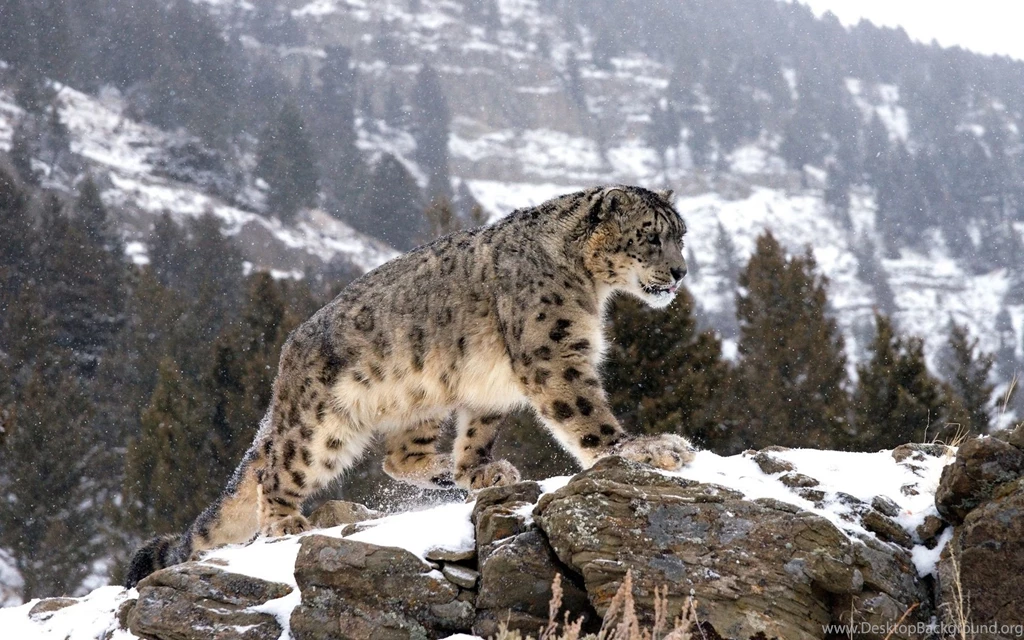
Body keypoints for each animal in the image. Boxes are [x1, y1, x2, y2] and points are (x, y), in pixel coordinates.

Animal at [125, 184, 695, 587]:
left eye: (681, 235)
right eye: (650, 235)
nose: (680, 271)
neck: (591, 289)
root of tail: (287, 357)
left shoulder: (492, 385)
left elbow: (479, 430)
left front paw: (479, 470)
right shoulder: (553, 355)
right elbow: (587, 415)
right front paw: (644, 448)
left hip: (422, 397)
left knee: (396, 457)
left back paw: (443, 470)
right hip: (319, 426)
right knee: (276, 468)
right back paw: (286, 522)